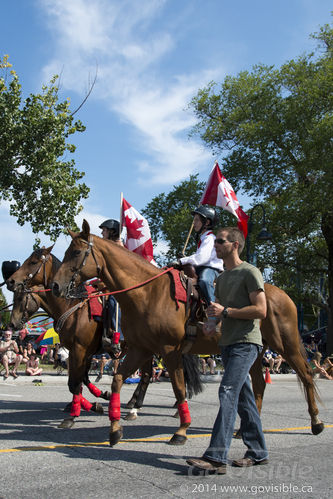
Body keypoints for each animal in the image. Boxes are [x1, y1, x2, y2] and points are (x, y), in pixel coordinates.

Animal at [6, 248, 152, 428]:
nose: (11, 281)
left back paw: (135, 408)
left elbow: (74, 383)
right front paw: (97, 401)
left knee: (146, 375)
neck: (72, 307)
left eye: (33, 262)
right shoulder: (81, 352)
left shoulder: (80, 349)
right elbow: (80, 379)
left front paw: (74, 414)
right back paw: (133, 404)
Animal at [51, 221, 322, 448]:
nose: (55, 286)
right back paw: (243, 430)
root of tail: (283, 295)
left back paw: (316, 423)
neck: (148, 293)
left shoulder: (169, 351)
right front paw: (115, 427)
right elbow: (116, 380)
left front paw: (181, 431)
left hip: (286, 344)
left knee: (307, 375)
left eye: (76, 253)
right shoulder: (140, 349)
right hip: (254, 351)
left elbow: (179, 389)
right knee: (259, 385)